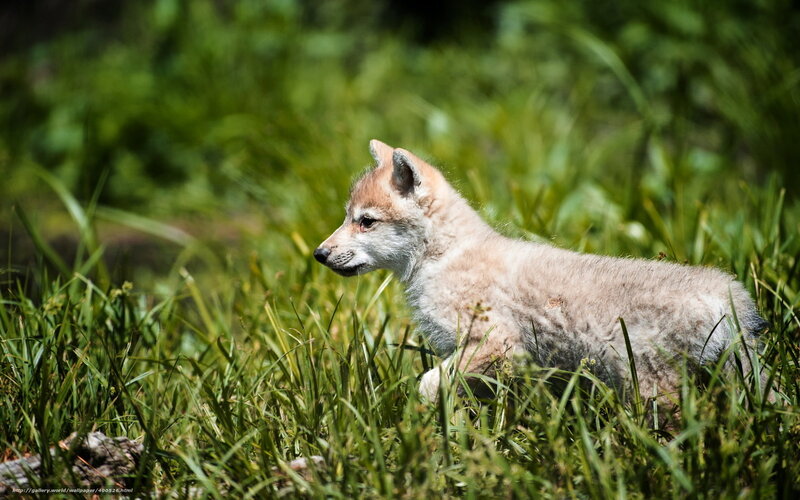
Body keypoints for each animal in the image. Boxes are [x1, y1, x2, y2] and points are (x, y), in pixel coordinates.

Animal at [314, 140, 768, 403]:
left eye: (365, 221)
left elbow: (427, 385)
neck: (444, 258)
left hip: (651, 382)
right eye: (347, 217)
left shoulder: (495, 342)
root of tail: (729, 296)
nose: (319, 253)